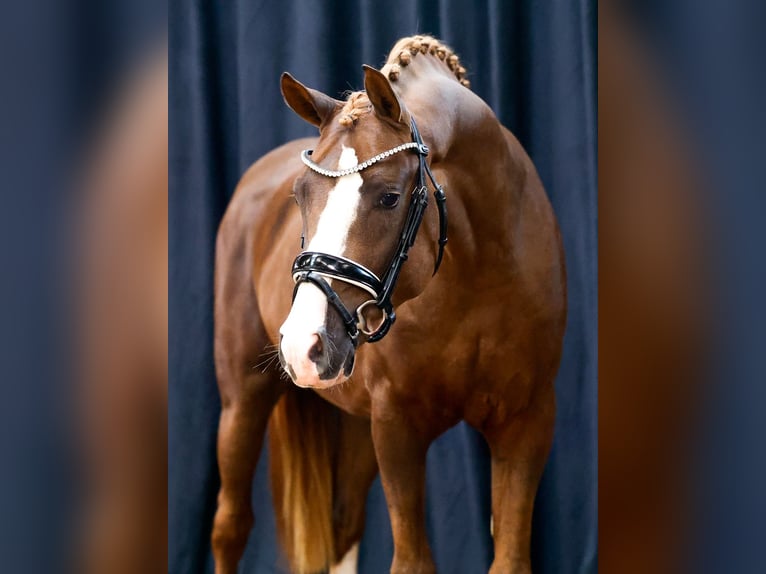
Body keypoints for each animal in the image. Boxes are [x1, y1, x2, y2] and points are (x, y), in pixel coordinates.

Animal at [213, 37, 568, 574]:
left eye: (389, 197)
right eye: (301, 194)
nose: (302, 345)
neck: (478, 280)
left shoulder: (526, 423)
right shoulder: (397, 426)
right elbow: (411, 561)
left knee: (342, 526)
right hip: (243, 398)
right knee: (230, 526)